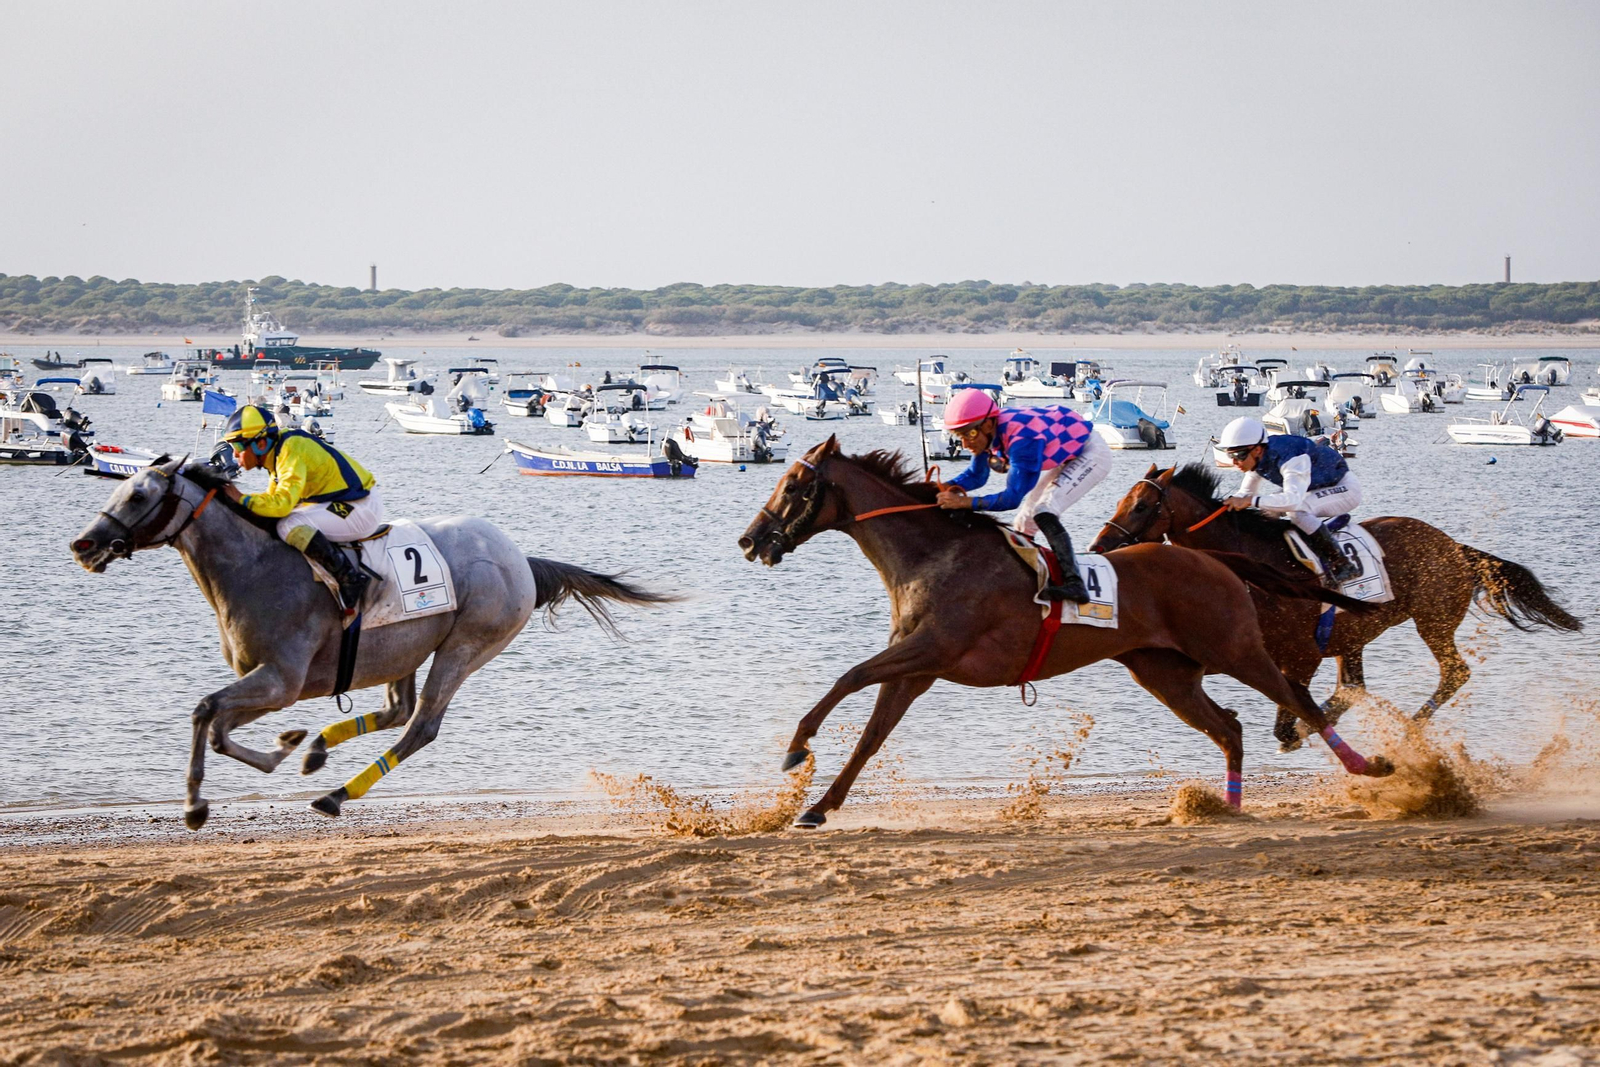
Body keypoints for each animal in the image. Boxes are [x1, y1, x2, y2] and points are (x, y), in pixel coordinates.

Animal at [70, 456, 670, 830]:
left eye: (139, 493)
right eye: (117, 488)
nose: (85, 544)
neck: (253, 567)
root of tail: (519, 557)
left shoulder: (281, 681)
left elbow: (206, 712)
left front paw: (197, 803)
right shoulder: (270, 682)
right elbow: (216, 727)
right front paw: (286, 747)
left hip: (464, 649)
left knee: (420, 725)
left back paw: (335, 794)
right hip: (403, 648)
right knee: (399, 710)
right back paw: (317, 749)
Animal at [738, 437, 1394, 827]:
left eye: (793, 485)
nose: (750, 540)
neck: (935, 554)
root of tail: (1212, 557)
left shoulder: (931, 648)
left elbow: (849, 676)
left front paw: (796, 748)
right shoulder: (919, 666)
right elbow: (871, 736)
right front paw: (817, 808)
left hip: (1235, 648)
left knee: (1299, 700)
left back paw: (1373, 769)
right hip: (1165, 673)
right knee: (1229, 725)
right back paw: (1224, 807)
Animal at [1091, 462, 1582, 747]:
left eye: (1142, 506)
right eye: (1121, 500)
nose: (1100, 545)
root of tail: (1456, 548)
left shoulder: (1300, 654)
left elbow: (1287, 716)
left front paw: (1300, 727)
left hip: (1433, 619)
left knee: (1453, 673)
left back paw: (1407, 726)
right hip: (1357, 635)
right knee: (1354, 686)